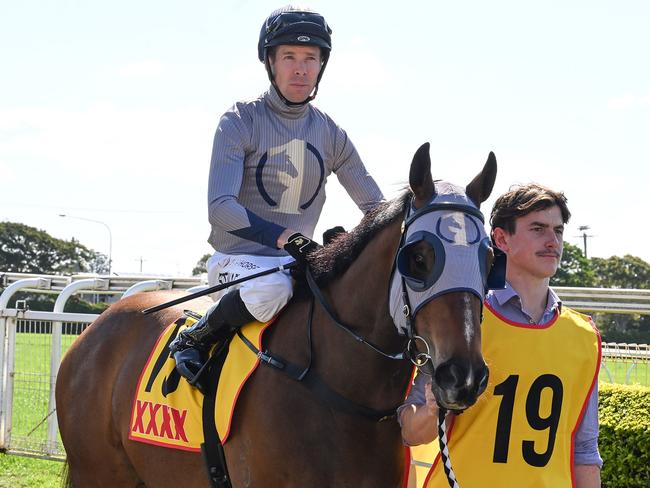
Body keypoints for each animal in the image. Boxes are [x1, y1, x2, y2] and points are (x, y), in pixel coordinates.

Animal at [57, 143, 496, 486]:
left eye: (489, 259)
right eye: (419, 258)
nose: (463, 376)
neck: (338, 392)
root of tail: (97, 327)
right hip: (98, 472)